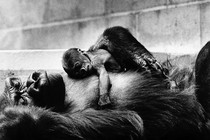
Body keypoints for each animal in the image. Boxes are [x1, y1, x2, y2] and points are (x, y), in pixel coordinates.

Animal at [0, 26, 209, 140]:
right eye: (21, 100)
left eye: (18, 85)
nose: (33, 81)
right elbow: (127, 121)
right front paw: (15, 120)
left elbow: (106, 42)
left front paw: (140, 57)